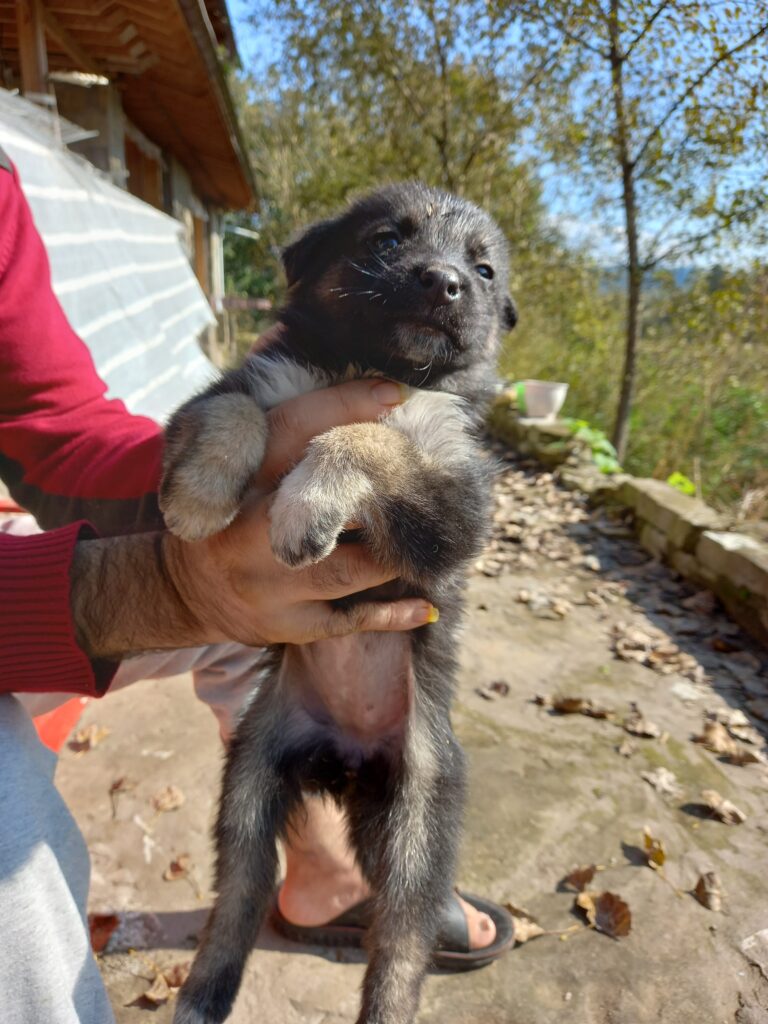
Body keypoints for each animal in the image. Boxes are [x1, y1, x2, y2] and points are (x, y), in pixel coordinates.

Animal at [162, 184, 518, 1024]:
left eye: (484, 270)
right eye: (387, 240)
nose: (444, 283)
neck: (374, 360)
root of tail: (347, 760)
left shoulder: (457, 506)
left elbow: (368, 435)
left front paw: (305, 505)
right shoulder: (242, 388)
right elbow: (235, 411)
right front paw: (200, 497)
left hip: (419, 825)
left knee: (401, 945)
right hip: (249, 781)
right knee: (240, 897)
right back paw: (201, 994)